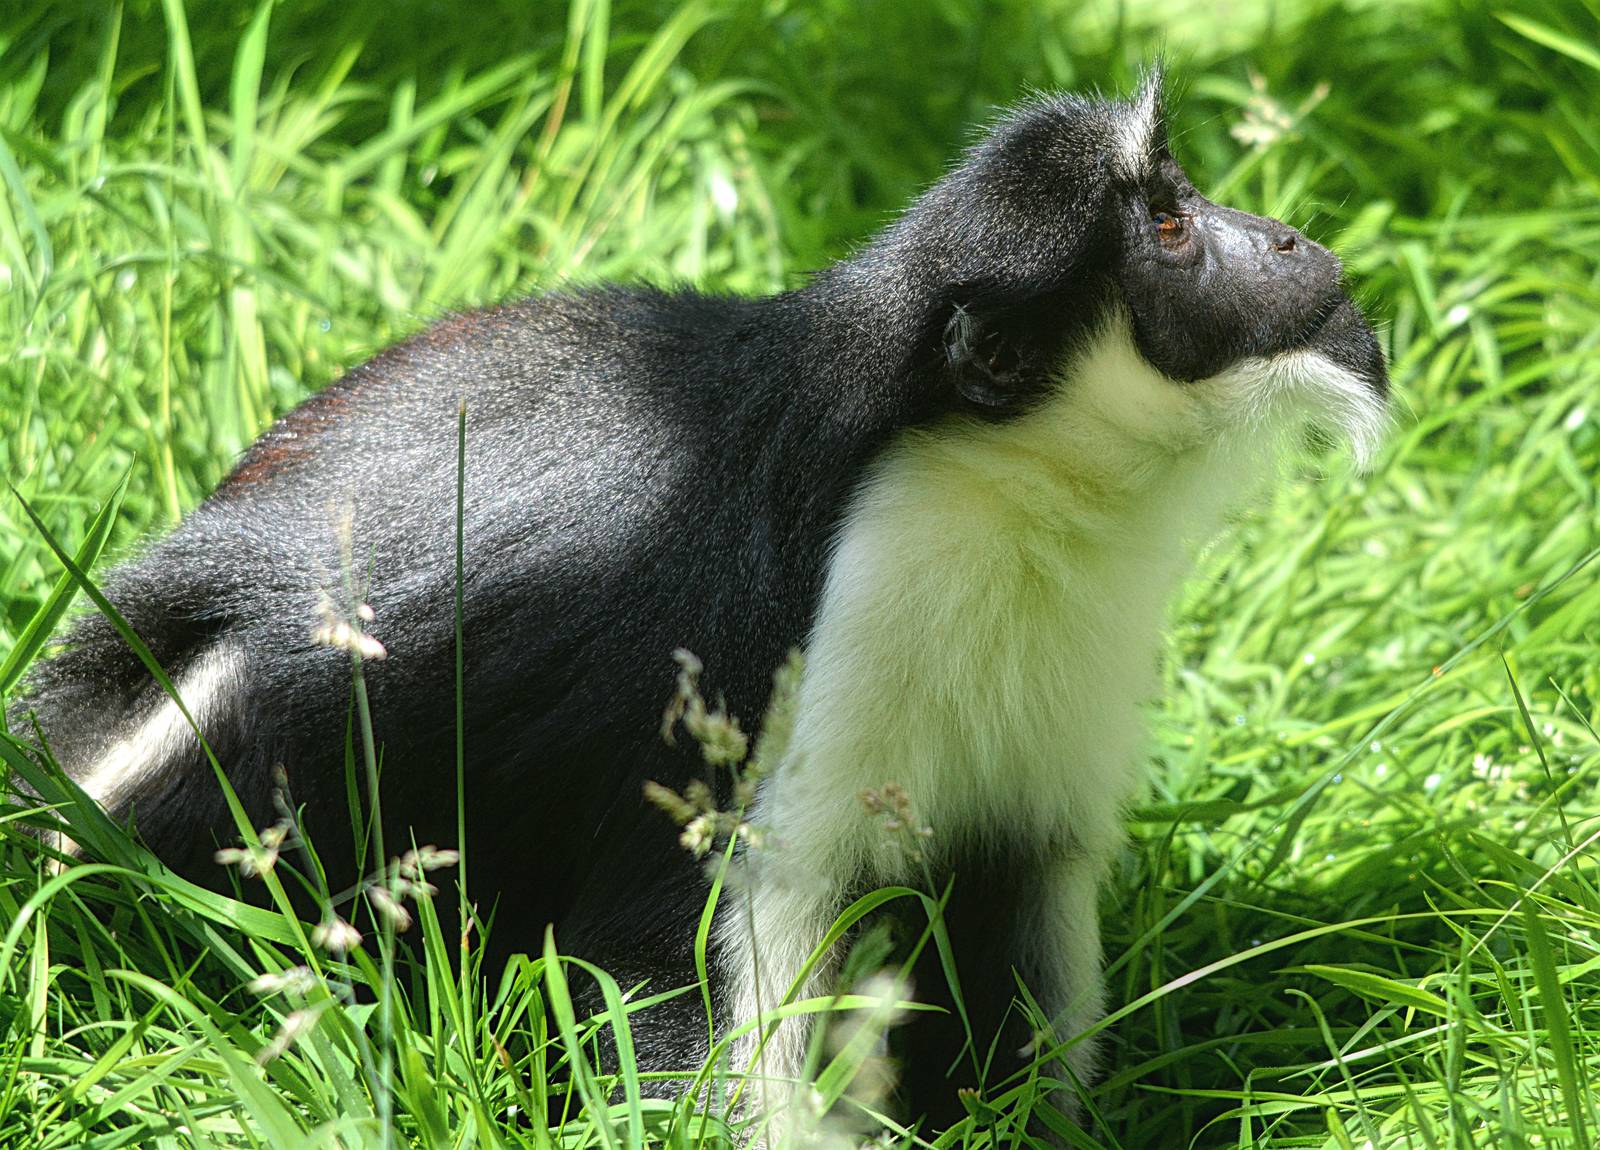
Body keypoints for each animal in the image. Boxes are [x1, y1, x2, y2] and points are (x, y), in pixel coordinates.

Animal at [10, 73, 1387, 1130]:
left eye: (1183, 192)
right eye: (1166, 226)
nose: (1281, 240)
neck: (991, 478)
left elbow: (1015, 918)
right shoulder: (759, 660)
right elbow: (686, 973)